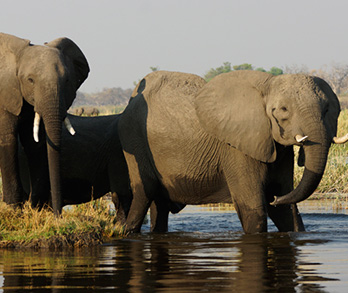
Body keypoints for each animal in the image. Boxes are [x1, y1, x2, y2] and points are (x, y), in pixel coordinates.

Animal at [0, 33, 89, 213]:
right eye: (30, 80)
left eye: (67, 80)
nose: (58, 214)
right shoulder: (5, 95)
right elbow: (8, 140)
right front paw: (13, 209)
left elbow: (35, 144)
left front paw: (37, 208)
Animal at [118, 70, 346, 233]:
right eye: (283, 110)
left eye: (328, 109)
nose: (273, 197)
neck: (267, 86)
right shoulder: (236, 148)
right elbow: (253, 209)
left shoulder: (277, 148)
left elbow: (286, 212)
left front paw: (280, 201)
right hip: (133, 140)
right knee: (144, 194)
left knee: (159, 205)